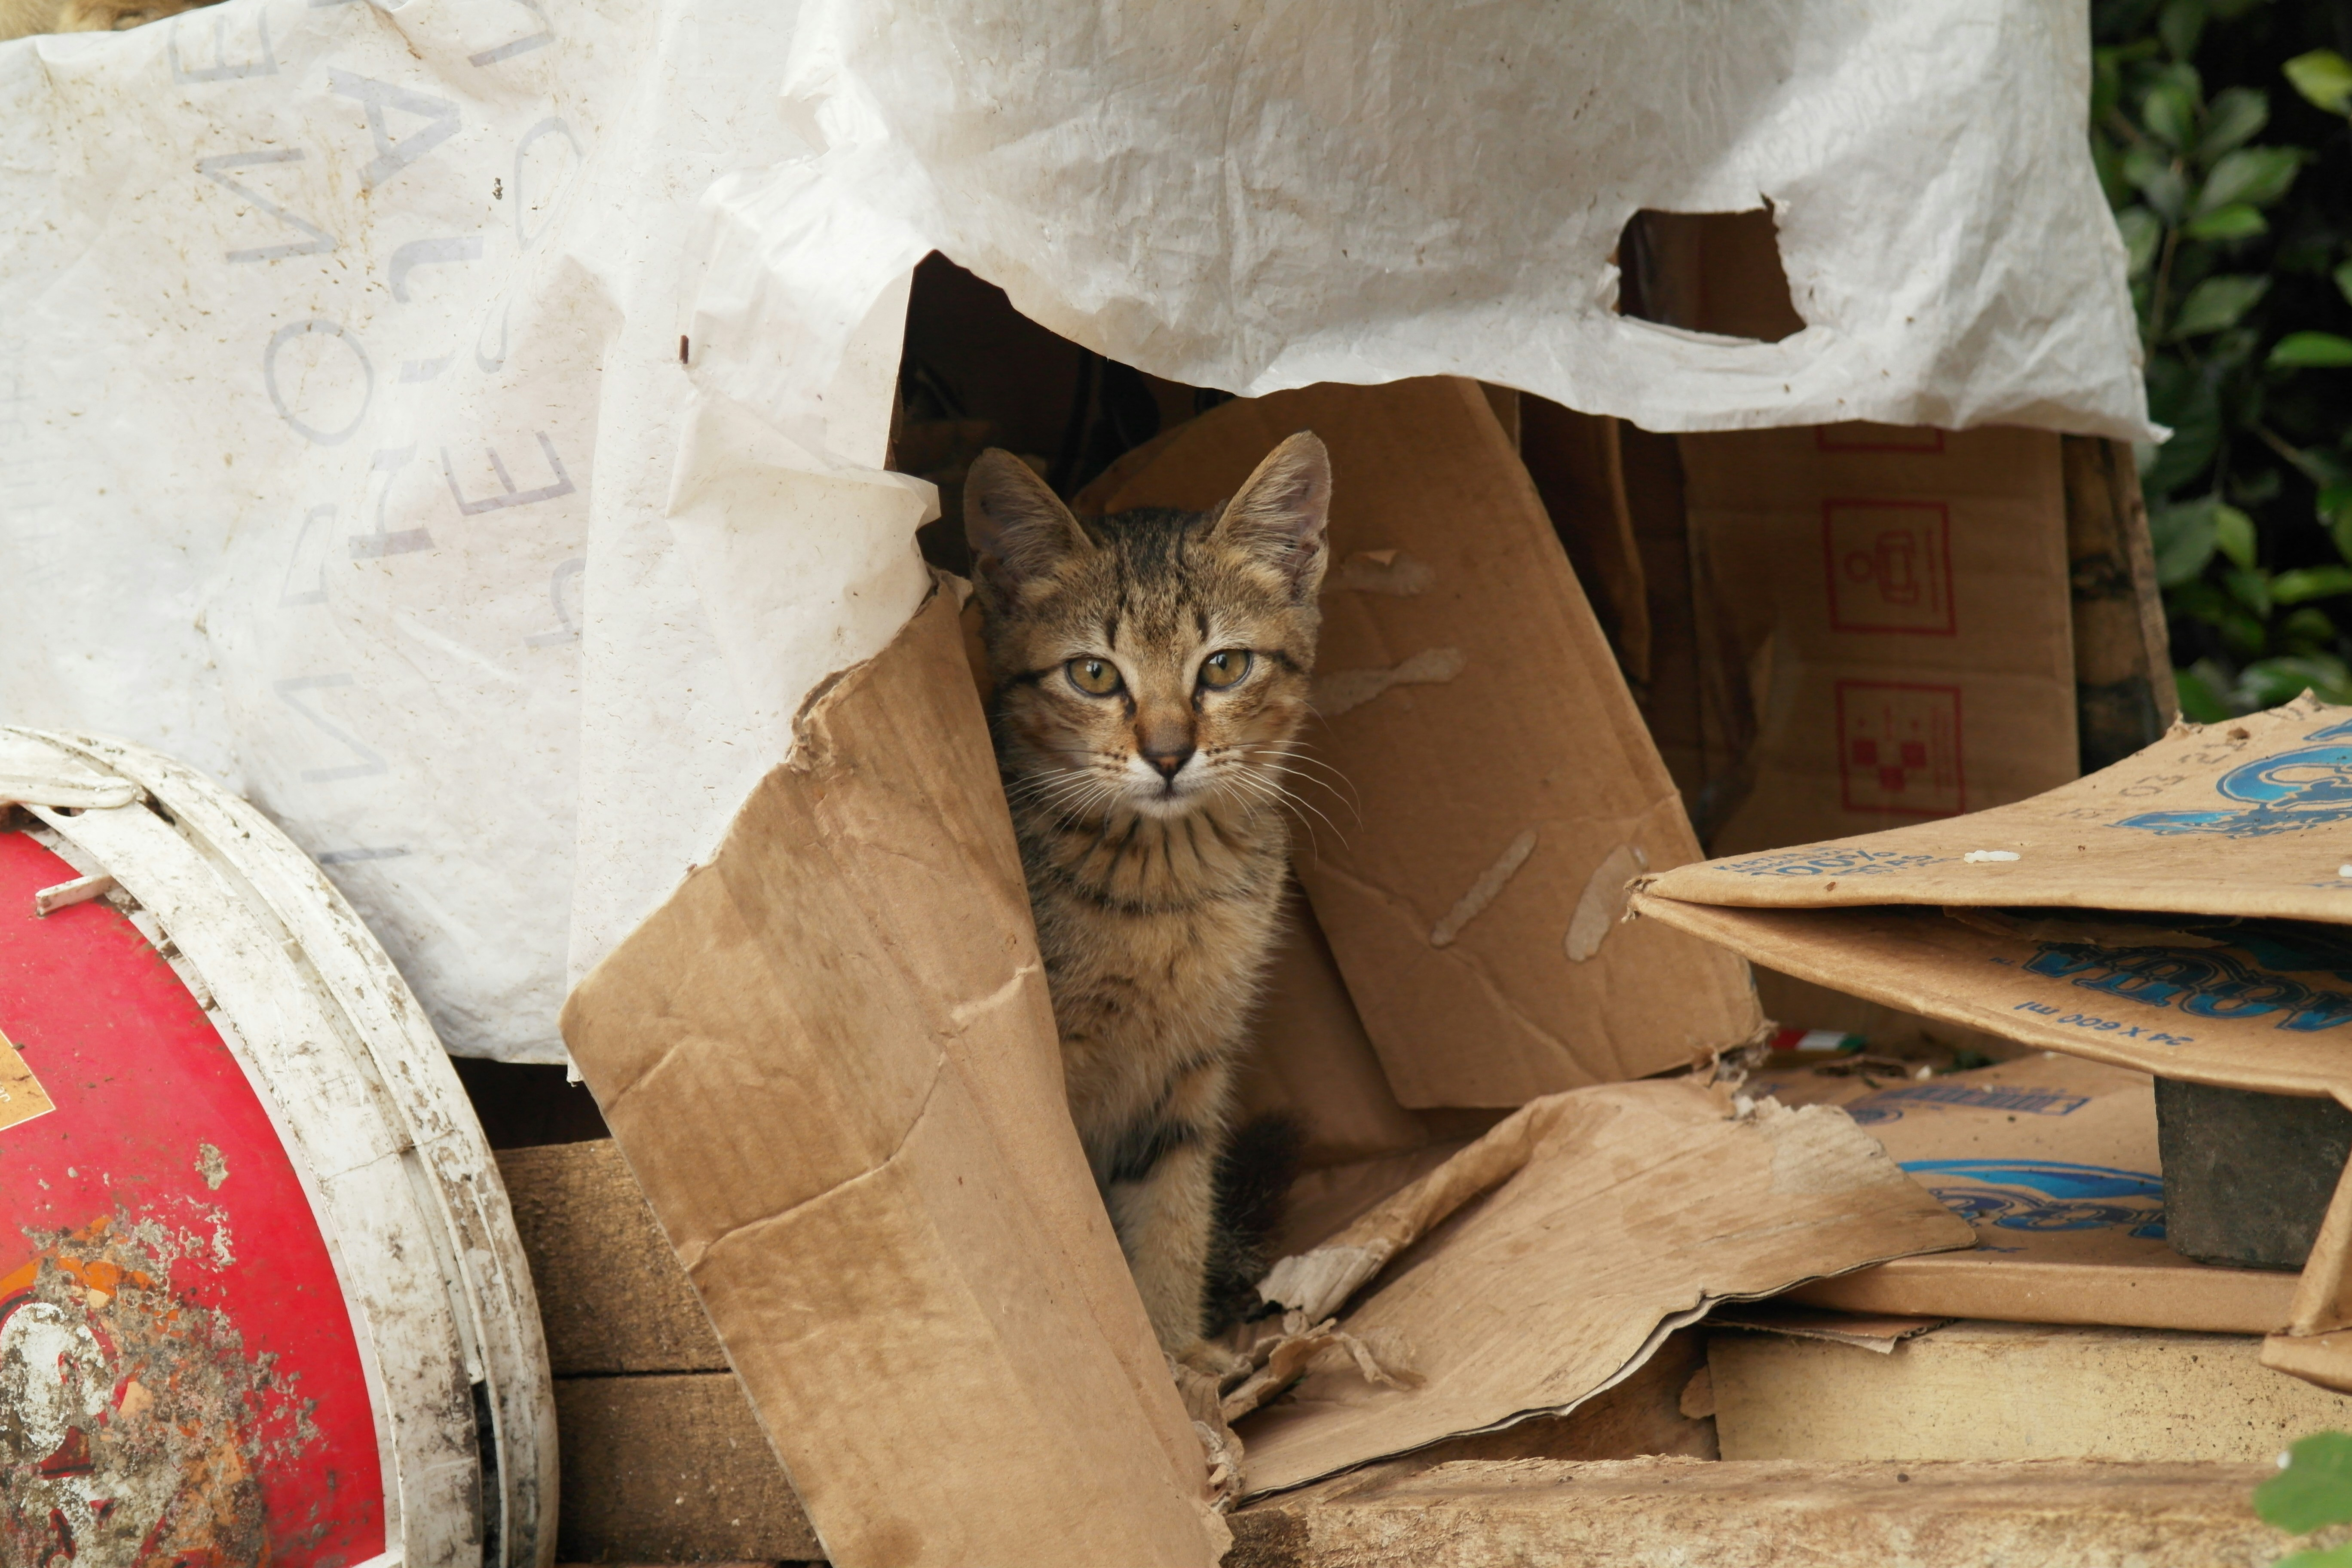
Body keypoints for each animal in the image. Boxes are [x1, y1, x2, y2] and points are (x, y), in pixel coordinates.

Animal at [964, 430, 1336, 1373]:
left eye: (1226, 666)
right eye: (1095, 674)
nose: (1169, 754)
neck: (1169, 887)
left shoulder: (1190, 1072)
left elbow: (1172, 1213)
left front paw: (1180, 1352)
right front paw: (1163, 1368)